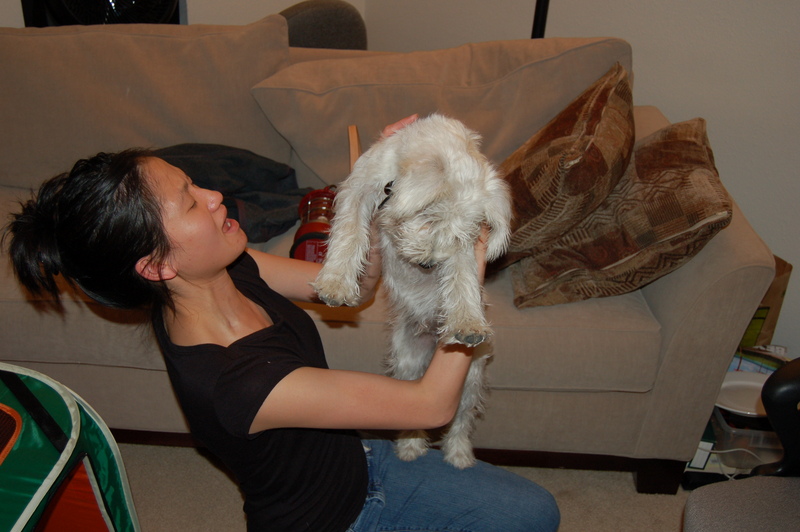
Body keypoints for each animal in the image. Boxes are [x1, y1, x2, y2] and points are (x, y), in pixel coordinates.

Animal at [313, 114, 512, 468]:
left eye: (463, 234)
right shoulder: (358, 189)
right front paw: (336, 282)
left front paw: (467, 321)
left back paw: (458, 454)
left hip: (471, 379)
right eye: (430, 217)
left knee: (461, 420)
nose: (429, 264)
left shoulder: (465, 251)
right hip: (407, 364)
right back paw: (410, 447)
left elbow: (462, 277)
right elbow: (349, 231)